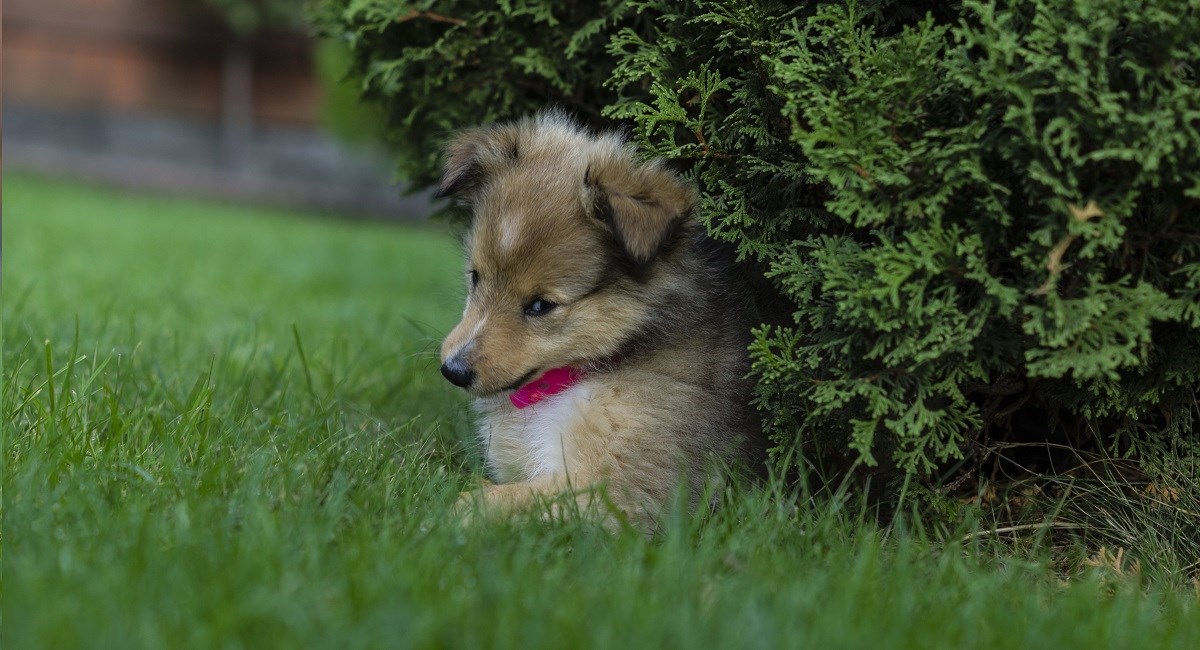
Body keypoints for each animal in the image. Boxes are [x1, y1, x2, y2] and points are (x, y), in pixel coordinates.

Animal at [436, 112, 763, 534]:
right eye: (476, 277)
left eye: (541, 305)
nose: (452, 371)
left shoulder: (625, 491)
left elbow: (499, 498)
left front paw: (443, 515)